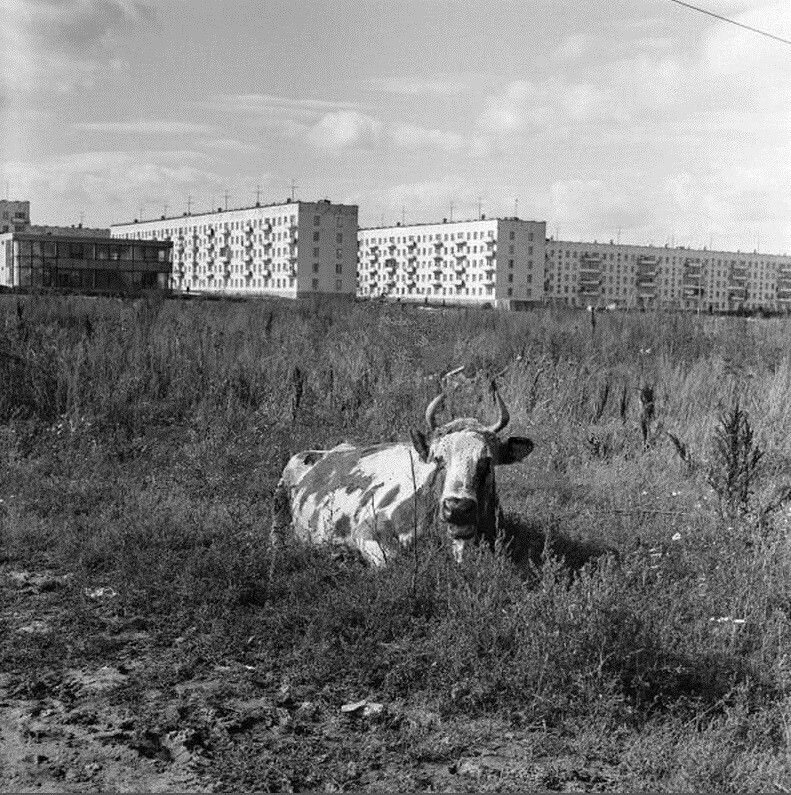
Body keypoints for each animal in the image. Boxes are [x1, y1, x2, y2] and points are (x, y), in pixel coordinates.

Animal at [270, 384, 536, 564]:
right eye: (438, 460)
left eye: (487, 462)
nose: (458, 508)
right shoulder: (367, 531)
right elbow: (392, 562)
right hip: (279, 500)